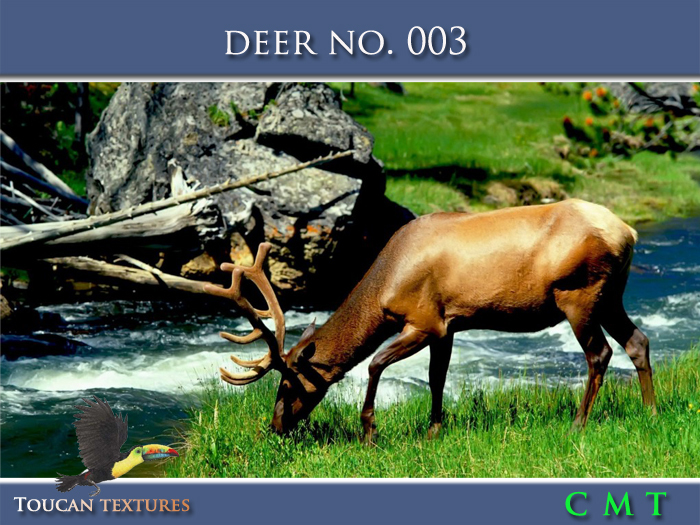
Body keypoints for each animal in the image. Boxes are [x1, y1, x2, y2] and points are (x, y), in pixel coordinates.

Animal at [204, 198, 657, 443]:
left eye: (288, 384)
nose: (275, 426)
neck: (385, 287)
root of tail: (628, 232)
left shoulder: (424, 321)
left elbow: (374, 364)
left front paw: (369, 432)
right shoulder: (449, 324)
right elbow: (437, 377)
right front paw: (434, 430)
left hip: (580, 294)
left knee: (600, 353)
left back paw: (578, 423)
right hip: (610, 296)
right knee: (638, 341)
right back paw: (651, 410)